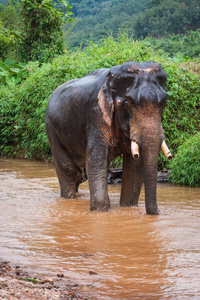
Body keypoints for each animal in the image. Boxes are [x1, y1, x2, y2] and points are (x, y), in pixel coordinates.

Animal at [45, 61, 172, 216]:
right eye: (128, 103)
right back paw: (68, 197)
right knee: (68, 169)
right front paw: (101, 212)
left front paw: (128, 207)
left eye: (164, 102)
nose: (158, 212)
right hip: (51, 127)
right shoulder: (97, 114)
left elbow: (134, 165)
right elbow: (95, 160)